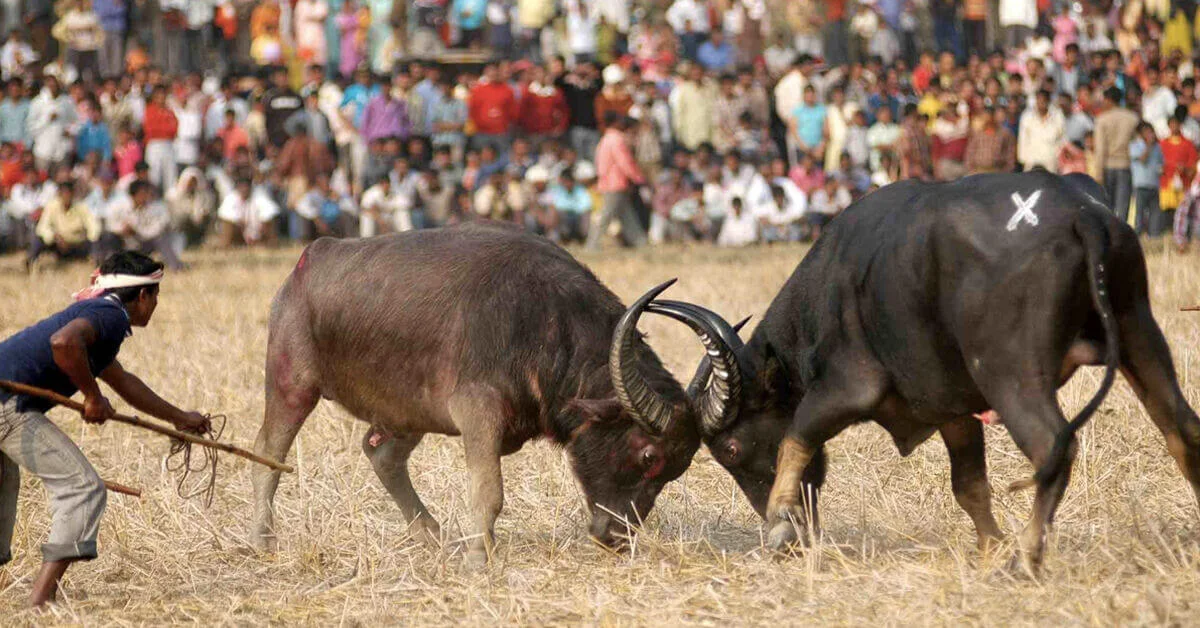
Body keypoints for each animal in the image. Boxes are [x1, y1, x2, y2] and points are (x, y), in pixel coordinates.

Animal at [250, 223, 739, 566]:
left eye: (675, 471)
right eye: (647, 455)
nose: (616, 536)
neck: (544, 324)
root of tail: (309, 261)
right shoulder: (477, 413)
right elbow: (489, 493)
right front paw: (478, 558)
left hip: (409, 410)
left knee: (382, 454)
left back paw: (433, 535)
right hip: (291, 382)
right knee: (268, 453)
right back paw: (262, 539)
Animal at [686, 171, 1200, 569]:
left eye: (730, 449)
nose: (789, 529)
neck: (829, 287)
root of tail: (1083, 215)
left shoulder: (846, 388)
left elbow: (795, 436)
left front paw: (779, 522)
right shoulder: (953, 411)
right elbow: (969, 486)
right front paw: (991, 547)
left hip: (1011, 374)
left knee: (1053, 446)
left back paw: (1026, 561)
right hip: (1138, 331)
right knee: (1182, 429)